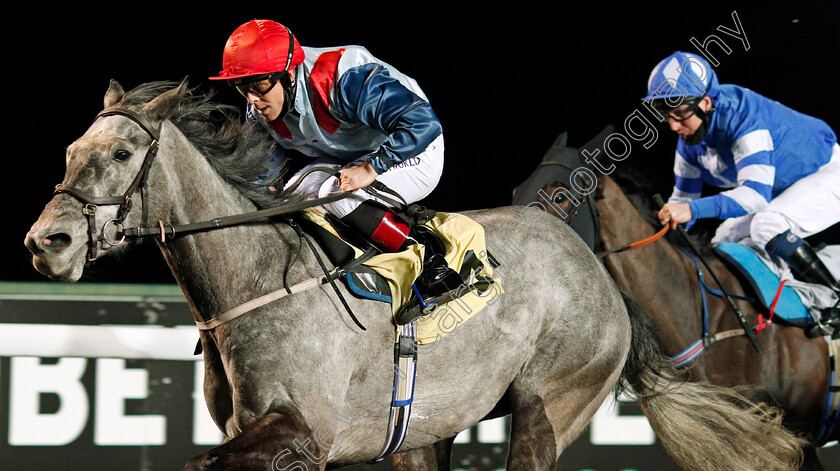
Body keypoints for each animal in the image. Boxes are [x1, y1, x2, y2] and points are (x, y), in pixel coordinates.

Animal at [23, 81, 804, 471]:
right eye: (70, 150)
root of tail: (600, 275)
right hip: (428, 427)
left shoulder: (305, 434)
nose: (46, 242)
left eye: (122, 153)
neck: (255, 284)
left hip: (551, 404)